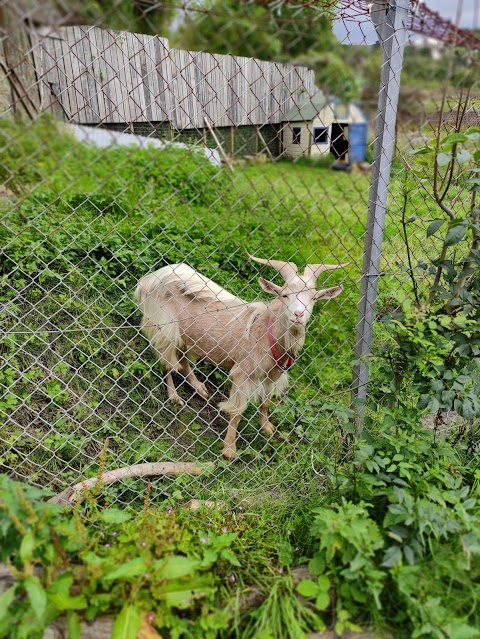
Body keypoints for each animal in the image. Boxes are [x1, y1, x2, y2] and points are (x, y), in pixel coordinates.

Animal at [135, 255, 344, 460]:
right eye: (284, 295)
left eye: (314, 298)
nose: (298, 315)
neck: (267, 331)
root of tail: (149, 279)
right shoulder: (242, 372)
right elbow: (237, 411)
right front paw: (229, 449)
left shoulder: (272, 375)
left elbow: (266, 403)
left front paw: (267, 427)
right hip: (164, 329)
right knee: (167, 361)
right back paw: (174, 396)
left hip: (184, 336)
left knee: (183, 359)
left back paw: (200, 388)